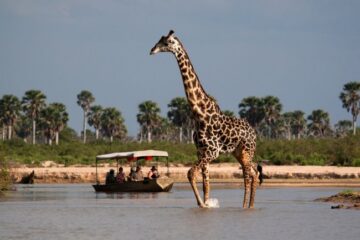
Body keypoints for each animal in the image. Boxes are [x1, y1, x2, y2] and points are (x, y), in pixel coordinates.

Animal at [150, 30, 262, 208]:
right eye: (159, 40)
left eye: (166, 42)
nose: (152, 50)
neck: (199, 113)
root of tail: (254, 132)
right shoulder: (201, 152)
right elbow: (206, 184)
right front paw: (206, 204)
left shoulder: (211, 152)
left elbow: (190, 173)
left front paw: (203, 204)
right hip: (238, 152)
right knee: (254, 172)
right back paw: (249, 206)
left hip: (246, 151)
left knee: (248, 175)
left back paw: (245, 206)